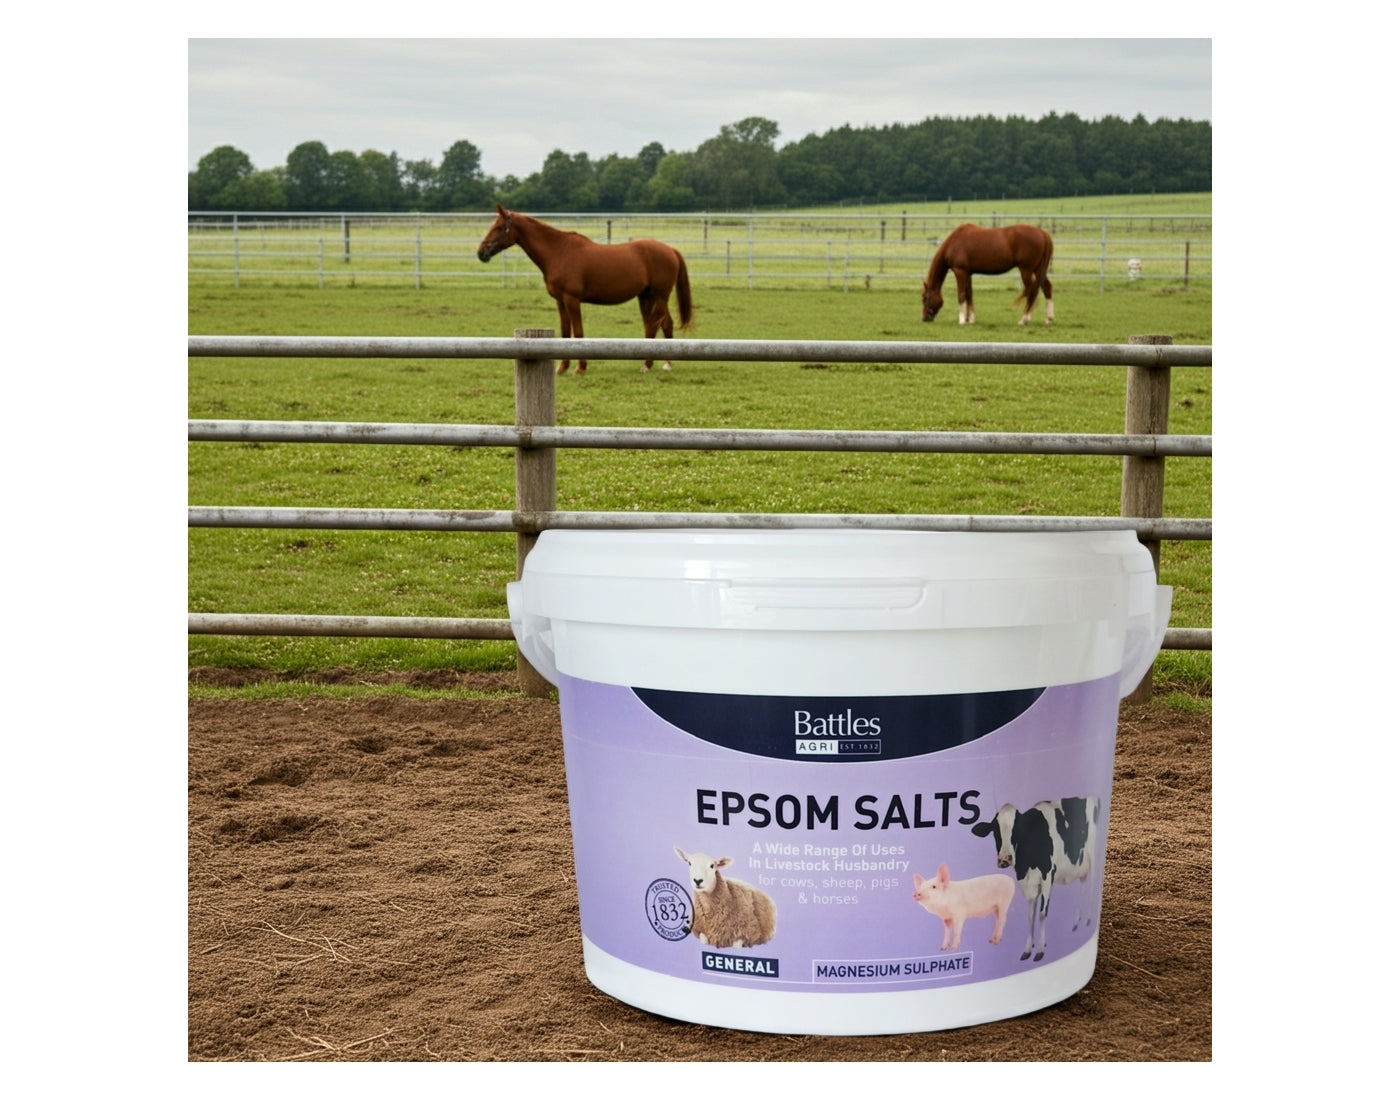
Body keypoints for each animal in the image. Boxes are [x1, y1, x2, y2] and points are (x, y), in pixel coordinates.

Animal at [476, 204, 694, 375]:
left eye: (499, 227)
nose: (481, 253)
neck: (558, 251)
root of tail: (670, 250)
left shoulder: (572, 299)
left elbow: (579, 333)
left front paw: (580, 367)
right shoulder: (560, 301)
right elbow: (565, 333)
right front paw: (562, 368)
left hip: (659, 297)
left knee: (656, 324)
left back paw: (650, 365)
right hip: (647, 297)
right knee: (661, 324)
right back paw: (662, 364)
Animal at [921, 223, 1055, 326]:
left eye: (925, 298)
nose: (924, 319)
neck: (954, 242)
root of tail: (1043, 234)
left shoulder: (960, 271)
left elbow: (962, 294)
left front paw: (962, 320)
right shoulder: (968, 273)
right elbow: (969, 294)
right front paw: (970, 319)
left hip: (1026, 270)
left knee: (1031, 290)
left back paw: (1024, 320)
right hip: (1039, 270)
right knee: (1046, 288)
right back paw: (1049, 319)